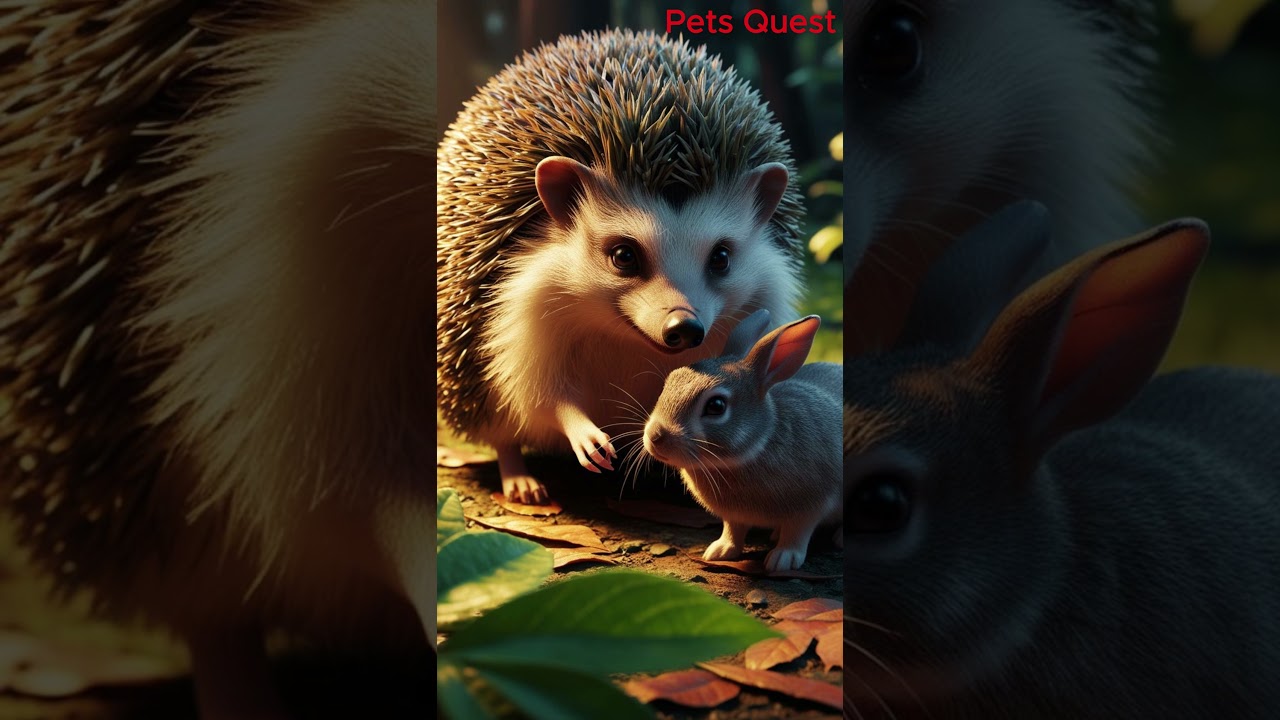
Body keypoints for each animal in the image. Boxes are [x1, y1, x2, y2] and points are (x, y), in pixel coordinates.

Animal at [643, 308, 843, 572]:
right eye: (671, 380)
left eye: (716, 406)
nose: (654, 436)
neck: (759, 444)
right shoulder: (734, 516)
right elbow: (733, 530)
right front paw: (719, 551)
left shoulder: (810, 505)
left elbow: (797, 533)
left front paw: (783, 559)